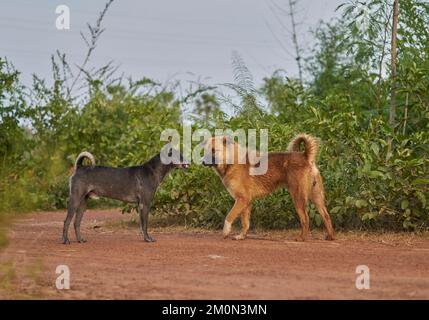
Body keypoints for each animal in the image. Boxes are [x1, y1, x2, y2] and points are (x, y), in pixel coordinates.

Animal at [201, 134, 334, 241]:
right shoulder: (246, 202)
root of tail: (305, 156)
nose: (202, 161)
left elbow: (229, 216)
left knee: (305, 219)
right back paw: (330, 237)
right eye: (206, 150)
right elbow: (245, 223)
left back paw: (302, 238)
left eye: (213, 150)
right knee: (326, 216)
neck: (231, 161)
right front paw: (242, 236)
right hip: (317, 197)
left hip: (298, 197)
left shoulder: (242, 199)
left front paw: (226, 231)